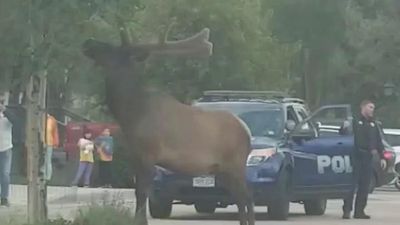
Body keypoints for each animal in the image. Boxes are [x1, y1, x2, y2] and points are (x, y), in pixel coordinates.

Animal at [81, 20, 255, 224]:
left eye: (112, 49)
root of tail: (246, 131)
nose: (88, 42)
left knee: (247, 197)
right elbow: (138, 194)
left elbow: (142, 194)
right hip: (223, 169)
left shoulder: (149, 153)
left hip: (236, 164)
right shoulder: (135, 156)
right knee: (240, 199)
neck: (131, 113)